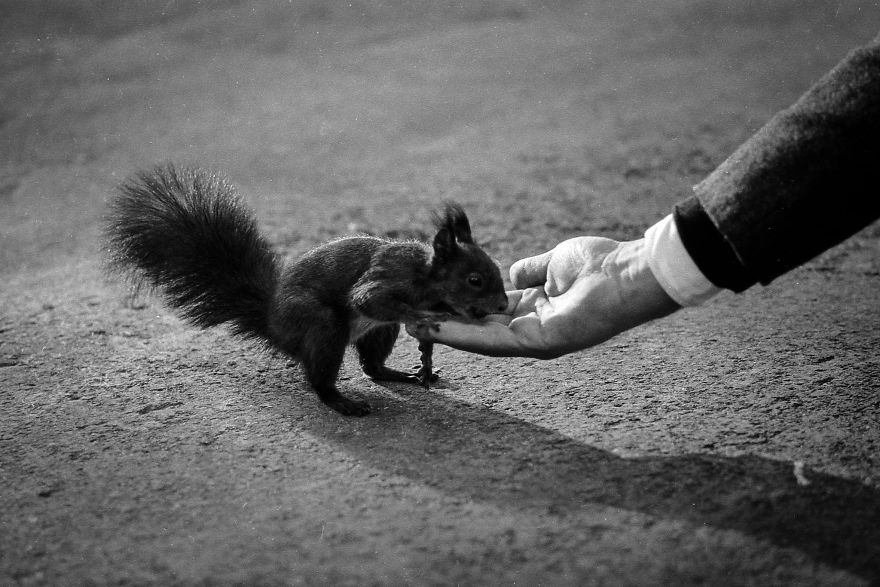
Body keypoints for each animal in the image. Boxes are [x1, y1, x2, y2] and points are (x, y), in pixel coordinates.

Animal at [105, 163, 508, 416]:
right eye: (474, 279)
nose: (503, 305)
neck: (426, 277)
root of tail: (274, 324)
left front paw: (427, 355)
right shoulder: (389, 275)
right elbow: (369, 298)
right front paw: (423, 315)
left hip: (379, 331)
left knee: (373, 367)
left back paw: (402, 375)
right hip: (322, 325)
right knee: (320, 378)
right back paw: (341, 402)